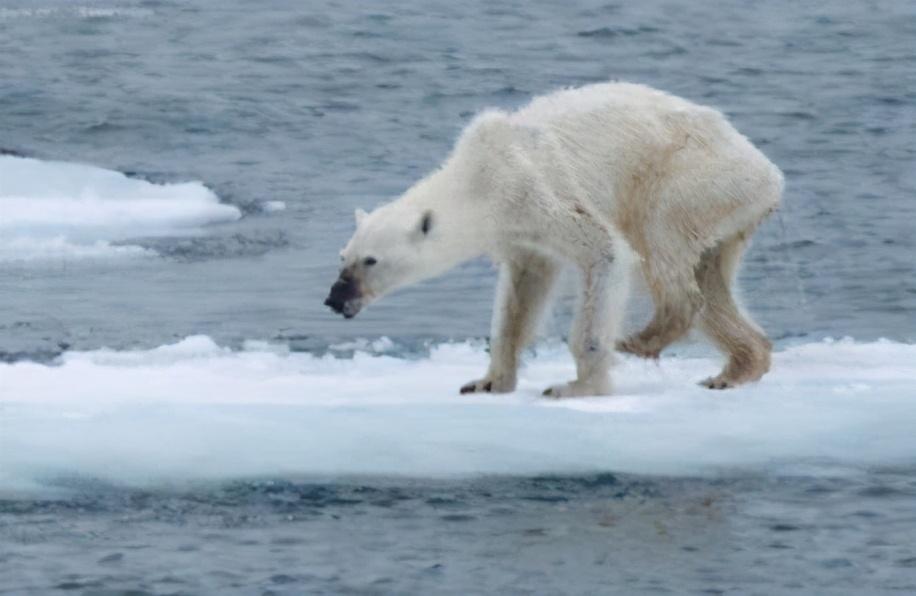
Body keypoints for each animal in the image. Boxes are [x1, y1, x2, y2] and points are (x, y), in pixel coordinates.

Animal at [326, 79, 784, 396]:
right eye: (343, 256)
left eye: (371, 260)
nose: (335, 298)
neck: (480, 177)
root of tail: (769, 173)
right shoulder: (518, 232)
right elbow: (521, 294)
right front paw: (487, 382)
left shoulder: (536, 191)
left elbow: (606, 252)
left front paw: (576, 387)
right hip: (726, 209)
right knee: (711, 281)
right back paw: (735, 369)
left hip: (690, 178)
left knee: (661, 242)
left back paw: (642, 338)